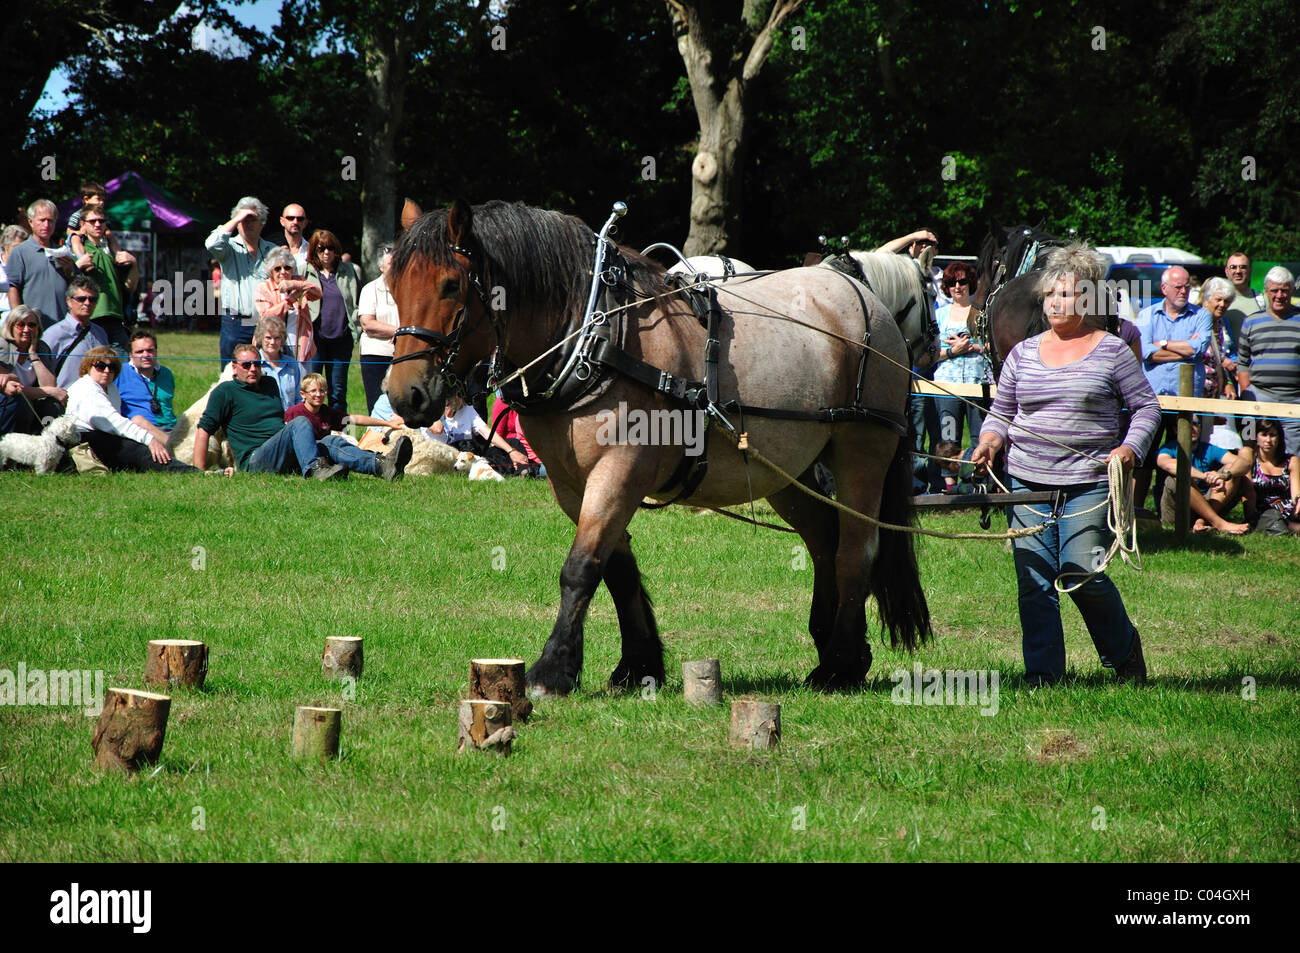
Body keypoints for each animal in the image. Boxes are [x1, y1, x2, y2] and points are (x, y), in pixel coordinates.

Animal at [379, 198, 930, 691]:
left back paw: (841, 663)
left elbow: (581, 567)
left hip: (862, 450)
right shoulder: (572, 482)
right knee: (823, 542)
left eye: (451, 285)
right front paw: (637, 665)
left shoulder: (621, 469)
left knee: (856, 549)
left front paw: (551, 671)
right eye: (391, 285)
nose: (406, 394)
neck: (597, 337)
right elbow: (615, 567)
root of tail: (866, 301)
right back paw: (836, 650)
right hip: (787, 470)